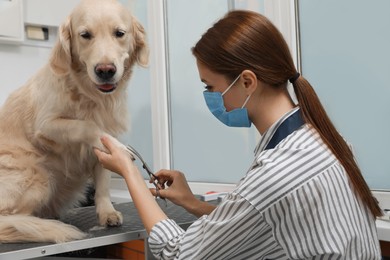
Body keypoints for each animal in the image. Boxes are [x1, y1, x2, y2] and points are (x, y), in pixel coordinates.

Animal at [0, 0, 148, 244]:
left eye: (119, 33)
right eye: (85, 35)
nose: (105, 71)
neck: (90, 95)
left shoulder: (107, 136)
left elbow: (103, 180)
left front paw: (107, 212)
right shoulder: (46, 124)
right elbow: (85, 125)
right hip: (39, 176)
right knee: (9, 217)